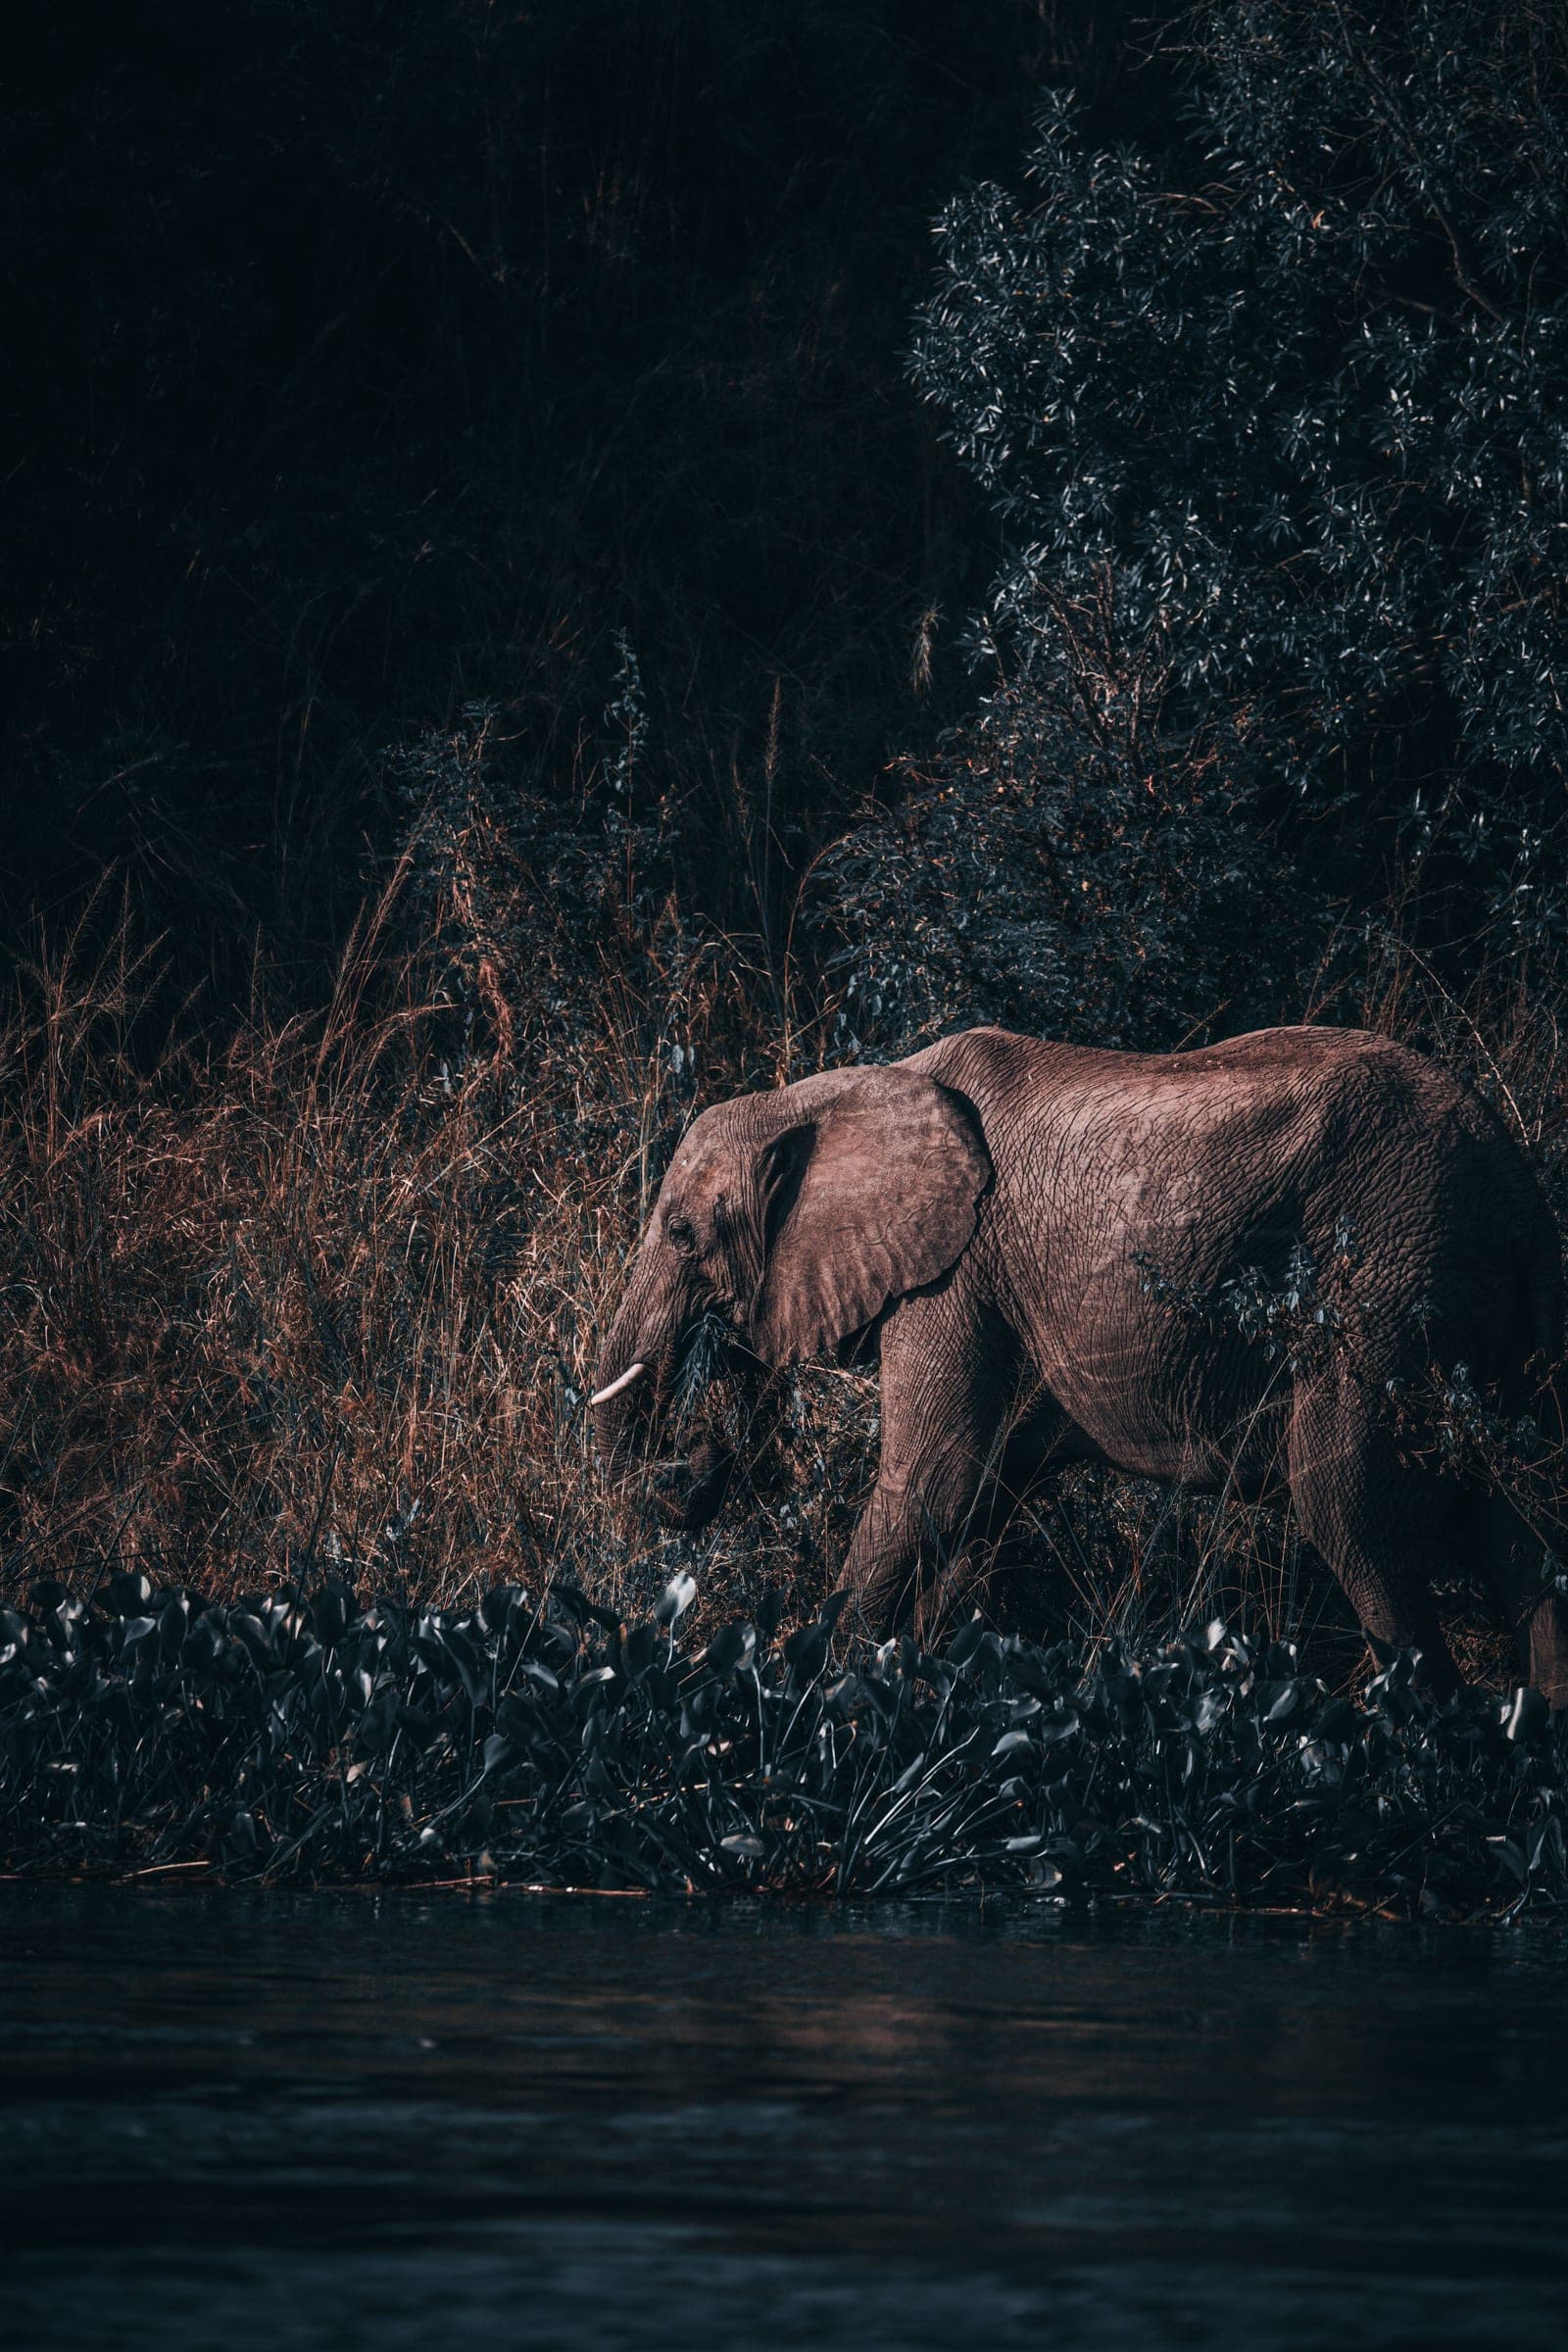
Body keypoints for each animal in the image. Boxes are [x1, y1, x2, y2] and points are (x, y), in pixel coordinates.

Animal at [592, 1024, 1568, 1701]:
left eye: (682, 1234)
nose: (690, 1473)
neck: (833, 1092)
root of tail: (1519, 1183)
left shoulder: (956, 1273)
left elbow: (935, 1475)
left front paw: (814, 1684)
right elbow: (988, 1486)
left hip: (1385, 1292)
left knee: (1350, 1509)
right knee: (1517, 1524)